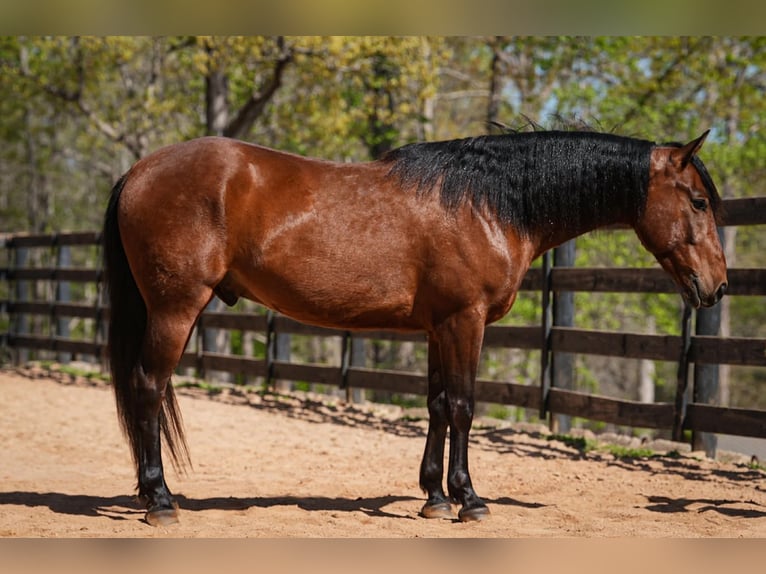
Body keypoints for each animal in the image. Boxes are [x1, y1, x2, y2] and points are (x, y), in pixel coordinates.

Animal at [102, 129, 727, 526]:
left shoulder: (438, 327)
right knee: (148, 388)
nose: (718, 286)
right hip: (175, 308)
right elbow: (464, 406)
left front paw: (433, 496)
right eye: (698, 201)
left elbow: (436, 405)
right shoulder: (465, 321)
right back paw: (159, 501)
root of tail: (138, 171)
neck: (488, 203)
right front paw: (469, 499)